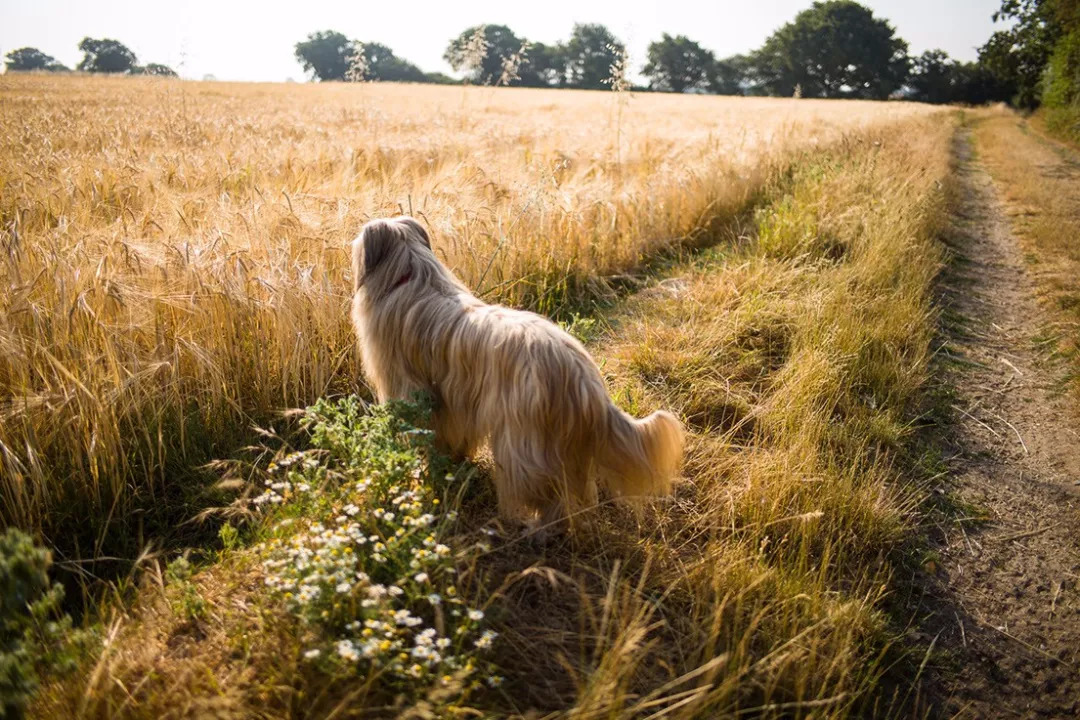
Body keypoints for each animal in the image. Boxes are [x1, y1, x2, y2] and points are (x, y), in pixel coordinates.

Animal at [349, 216, 682, 526]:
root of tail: (583, 378)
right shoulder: (455, 402)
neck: (411, 274)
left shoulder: (408, 386)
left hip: (522, 438)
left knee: (544, 492)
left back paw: (534, 525)